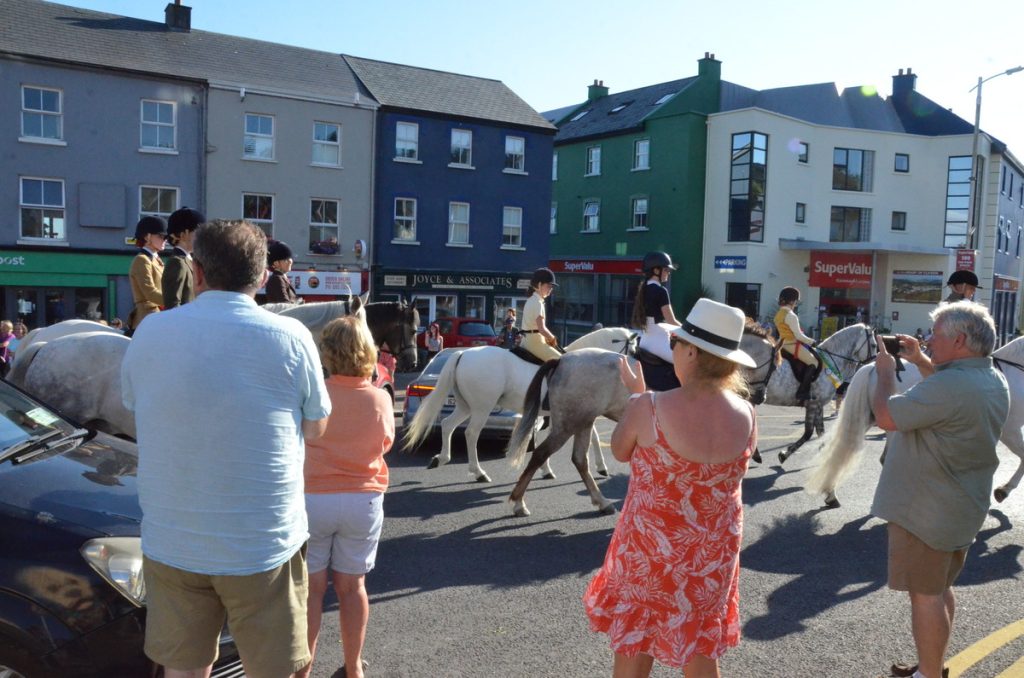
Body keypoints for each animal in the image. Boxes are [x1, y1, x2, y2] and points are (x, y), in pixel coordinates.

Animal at [401, 327, 634, 483]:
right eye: (633, 349)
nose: (635, 374)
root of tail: (463, 353)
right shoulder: (580, 412)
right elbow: (593, 436)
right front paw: (602, 467)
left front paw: (546, 469)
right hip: (482, 408)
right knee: (471, 433)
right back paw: (479, 472)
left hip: (465, 406)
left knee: (448, 424)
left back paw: (441, 458)